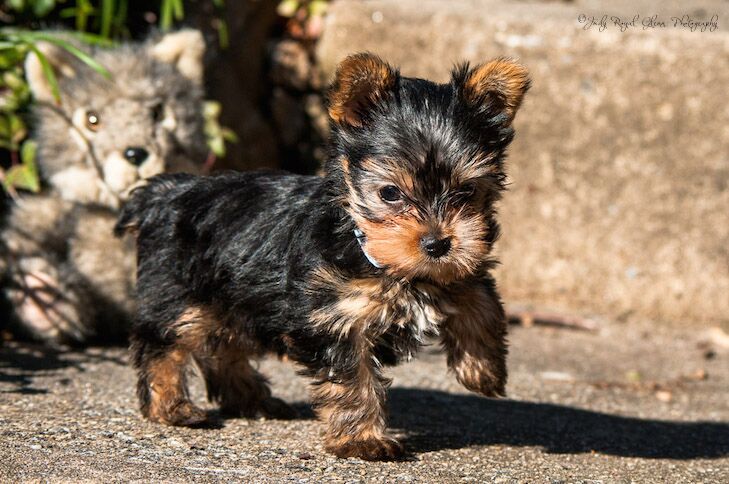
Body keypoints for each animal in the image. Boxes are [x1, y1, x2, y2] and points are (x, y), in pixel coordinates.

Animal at [115, 53, 528, 462]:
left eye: (467, 192)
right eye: (390, 193)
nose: (437, 244)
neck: (370, 249)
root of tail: (164, 192)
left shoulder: (455, 266)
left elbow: (478, 296)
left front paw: (483, 370)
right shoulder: (335, 318)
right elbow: (351, 380)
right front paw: (362, 439)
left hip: (237, 299)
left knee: (222, 345)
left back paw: (253, 399)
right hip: (177, 293)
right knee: (162, 345)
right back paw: (172, 407)